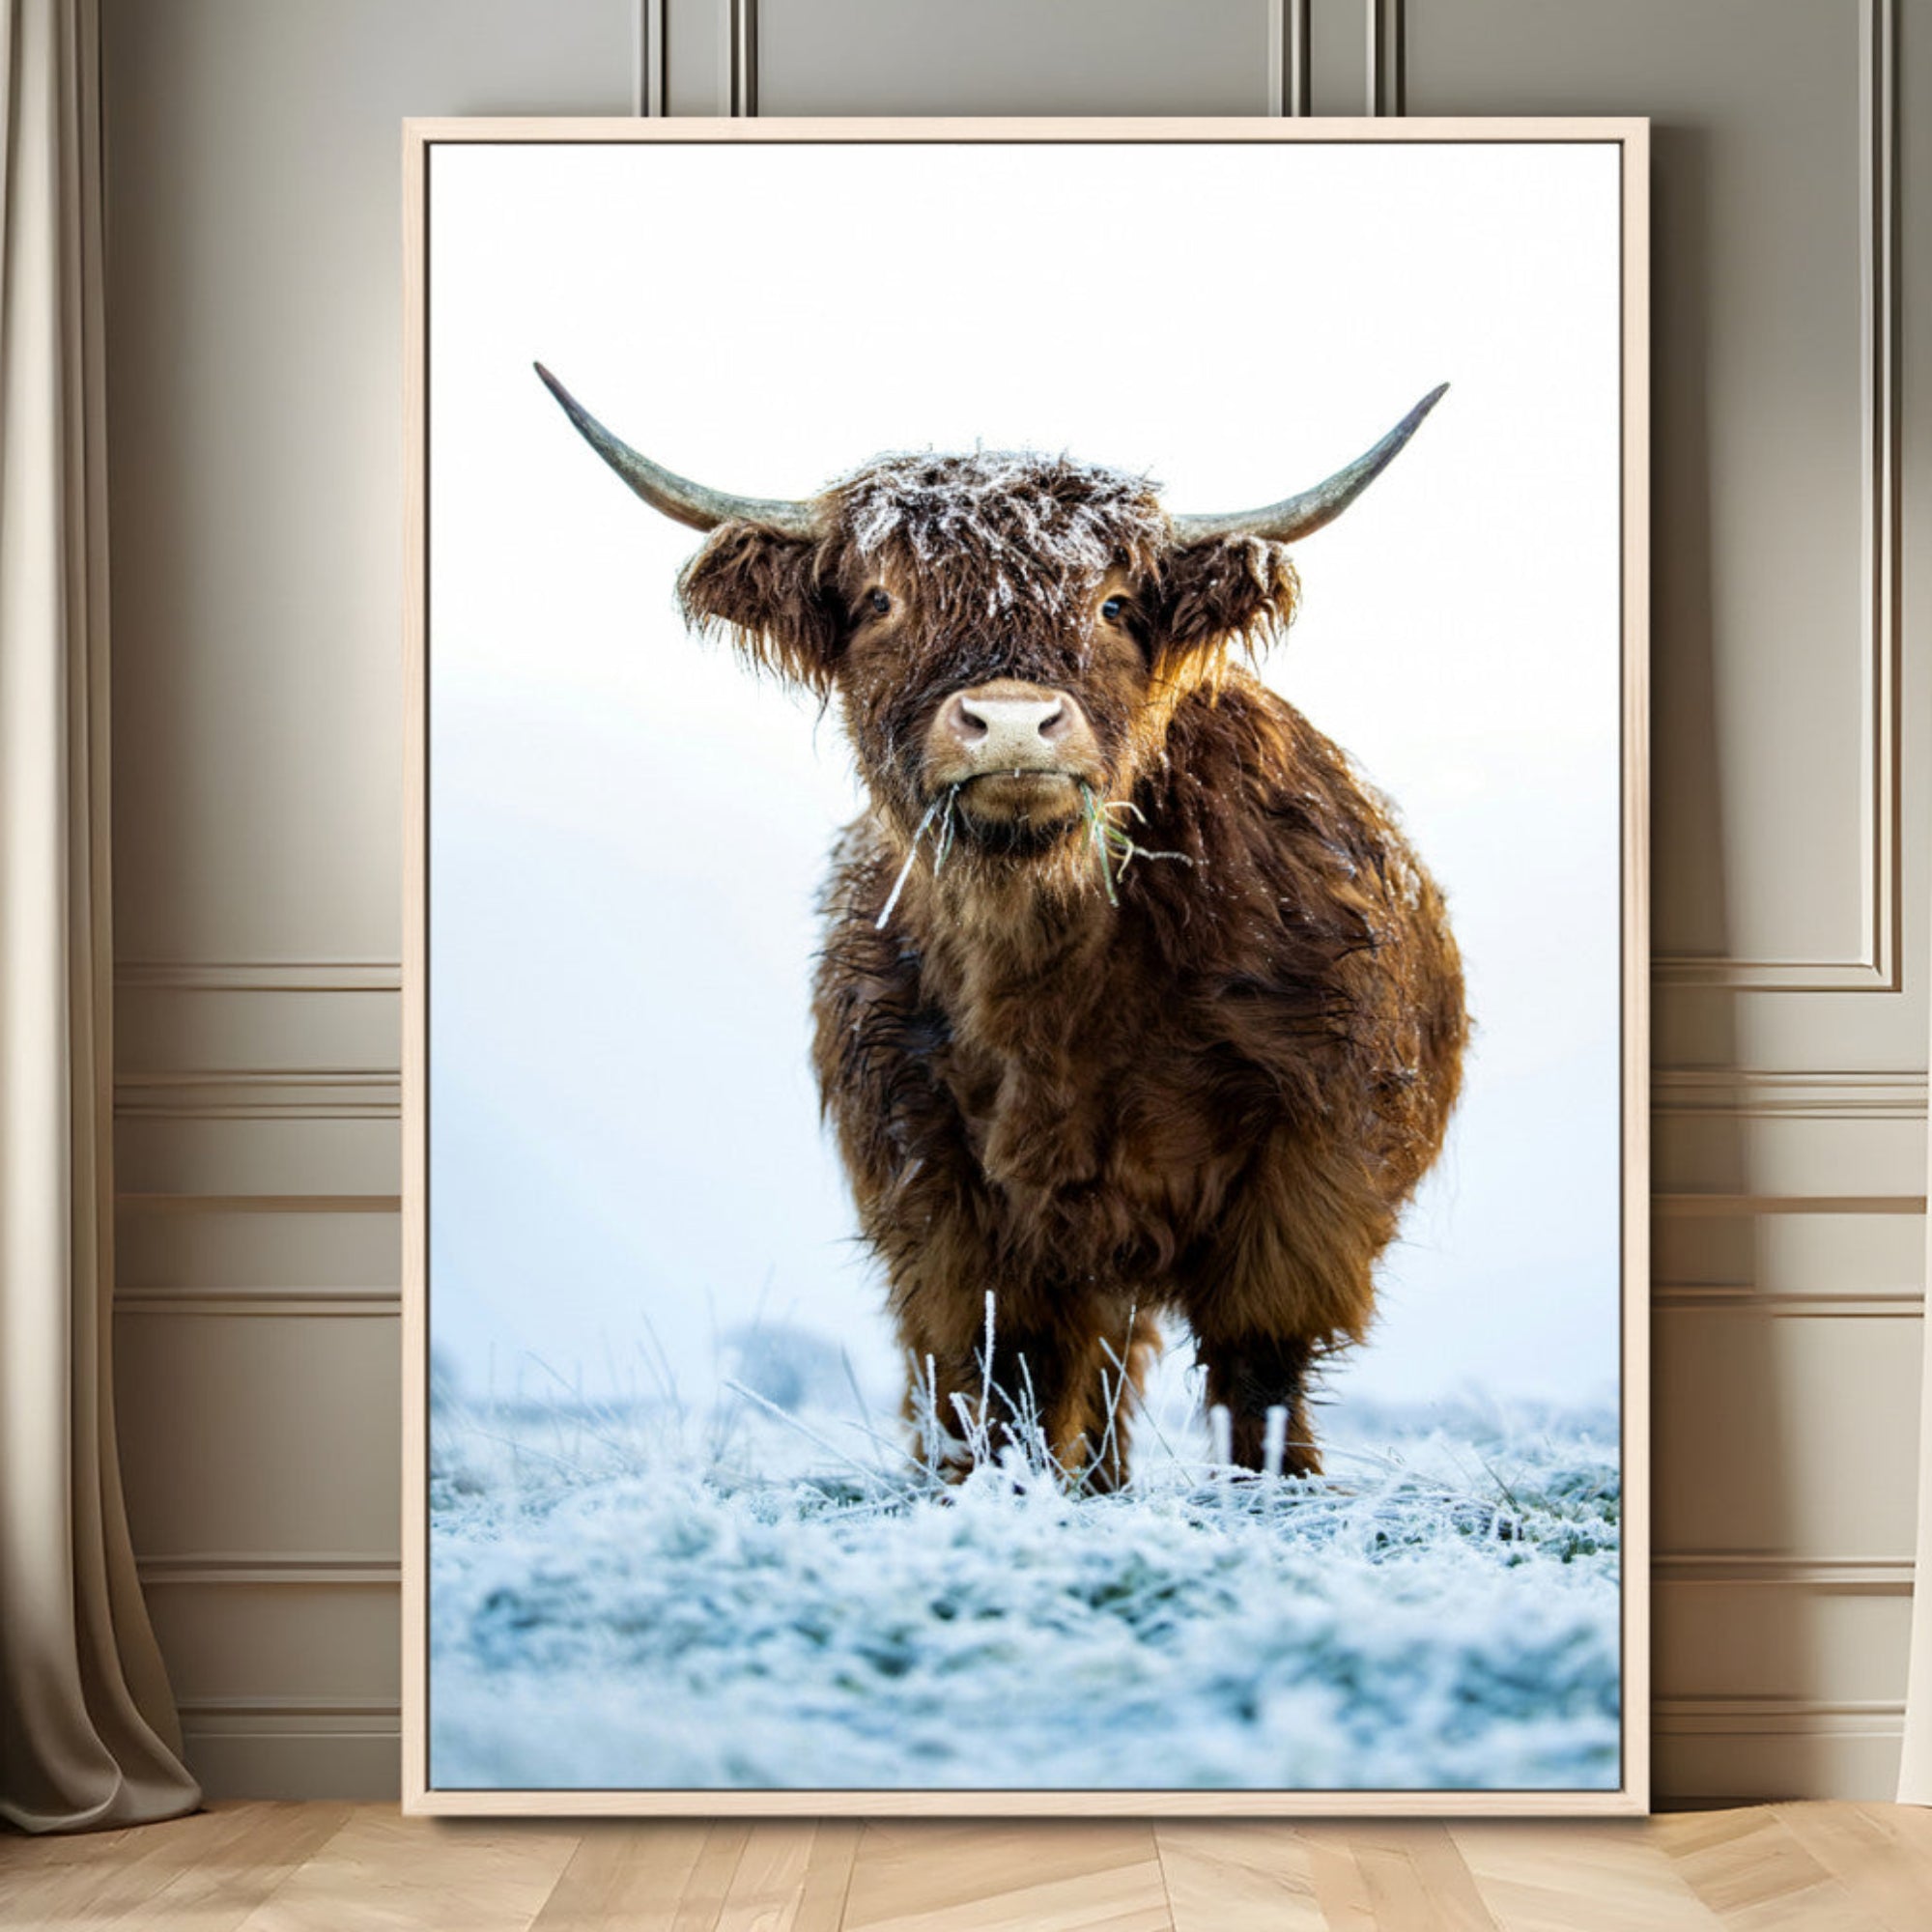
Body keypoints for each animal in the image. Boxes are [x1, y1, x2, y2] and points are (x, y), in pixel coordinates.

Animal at [537, 364, 1468, 1489]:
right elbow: (1002, 1368)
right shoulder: (935, 1180)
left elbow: (1259, 1361)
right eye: (881, 599)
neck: (1050, 981)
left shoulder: (1314, 1153)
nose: (1014, 723)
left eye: (1113, 603)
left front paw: (1277, 1494)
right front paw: (999, 1497)